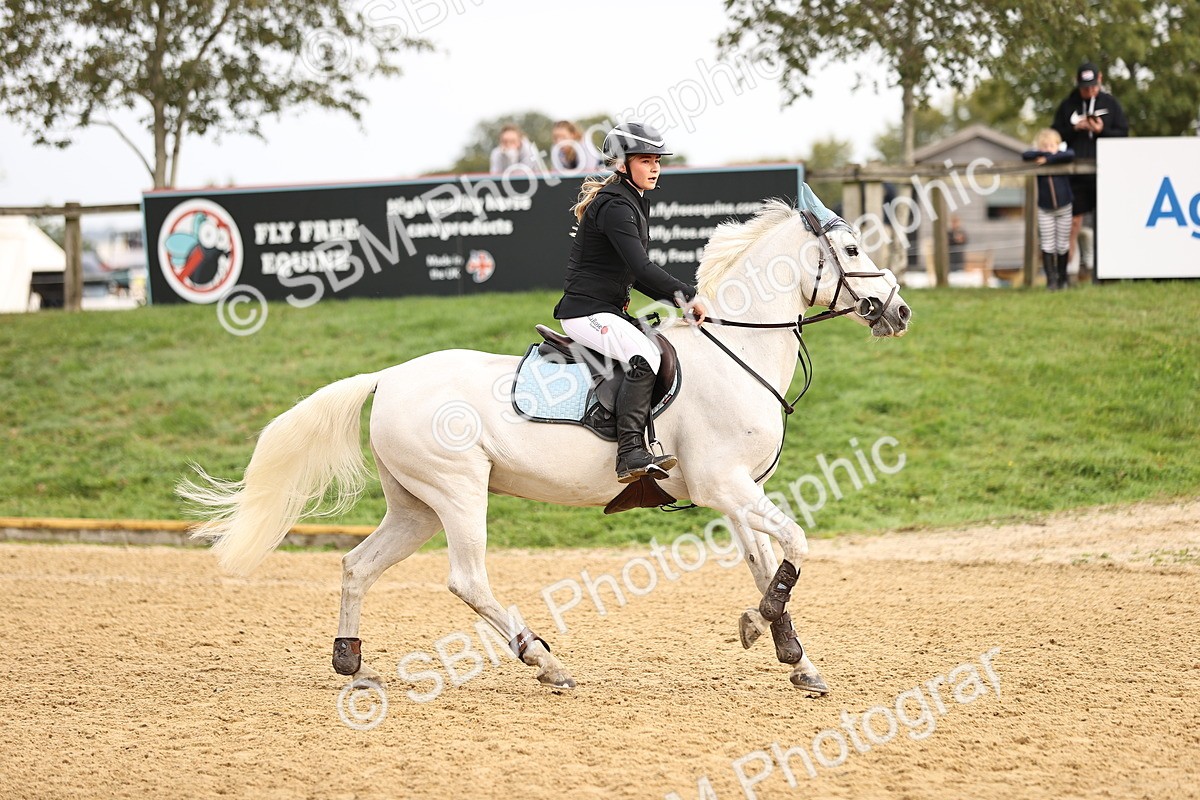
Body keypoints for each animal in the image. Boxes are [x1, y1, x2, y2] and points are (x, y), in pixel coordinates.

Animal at [180, 198, 911, 694]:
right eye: (851, 252)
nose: (900, 311)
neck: (738, 351)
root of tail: (388, 378)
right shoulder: (724, 485)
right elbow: (796, 546)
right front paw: (762, 629)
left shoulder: (737, 493)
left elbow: (765, 562)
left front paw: (795, 658)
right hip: (458, 491)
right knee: (467, 579)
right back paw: (544, 660)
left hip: (415, 506)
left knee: (357, 566)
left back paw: (350, 661)